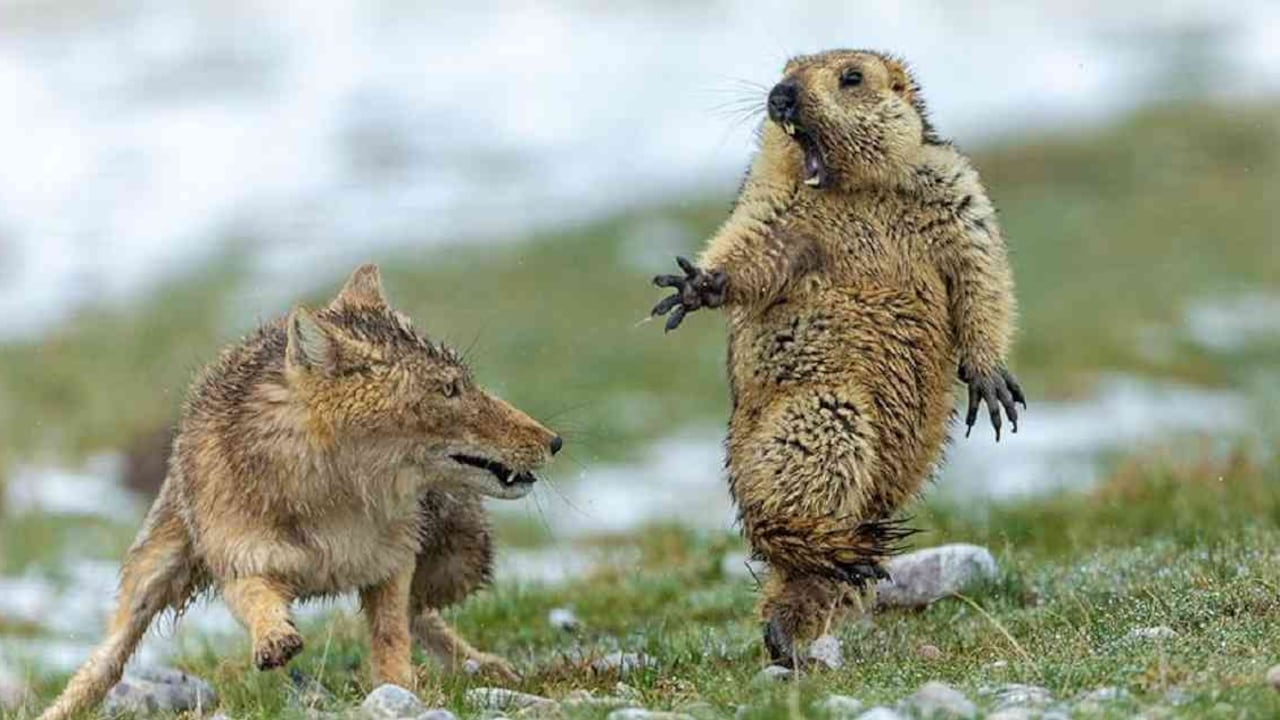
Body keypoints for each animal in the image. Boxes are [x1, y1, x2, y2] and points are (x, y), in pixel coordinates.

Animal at [40, 264, 562, 720]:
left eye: (464, 384)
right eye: (450, 390)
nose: (555, 441)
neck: (333, 504)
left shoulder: (392, 563)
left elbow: (392, 636)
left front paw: (400, 690)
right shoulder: (241, 561)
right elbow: (257, 600)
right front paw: (275, 638)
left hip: (460, 560)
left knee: (422, 614)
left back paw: (484, 666)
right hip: (152, 573)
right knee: (106, 660)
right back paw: (62, 708)